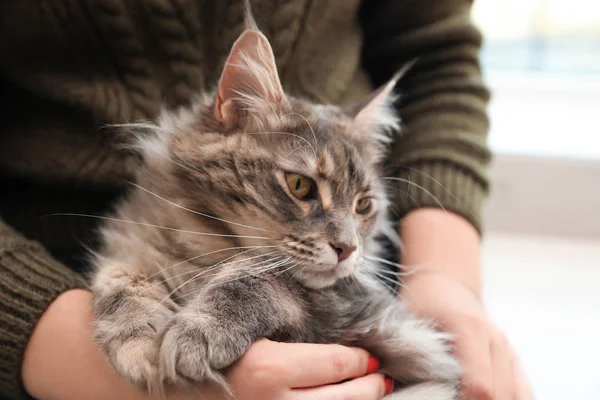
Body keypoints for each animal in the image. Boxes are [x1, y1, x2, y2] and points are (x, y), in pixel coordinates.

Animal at [91, 12, 462, 400]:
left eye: (362, 205)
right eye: (300, 186)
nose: (347, 249)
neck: (204, 245)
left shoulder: (377, 318)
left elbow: (261, 277)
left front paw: (196, 334)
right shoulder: (130, 246)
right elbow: (123, 282)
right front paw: (137, 342)